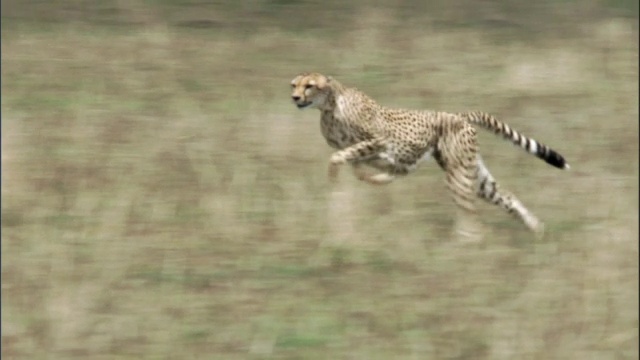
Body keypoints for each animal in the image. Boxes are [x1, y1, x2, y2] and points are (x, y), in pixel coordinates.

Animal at [290, 71, 568, 239]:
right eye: (294, 84)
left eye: (310, 86)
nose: (294, 97)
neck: (329, 105)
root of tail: (458, 115)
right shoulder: (361, 152)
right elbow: (357, 165)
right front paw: (377, 179)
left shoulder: (378, 141)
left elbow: (340, 158)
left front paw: (339, 178)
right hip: (472, 173)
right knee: (505, 196)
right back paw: (536, 227)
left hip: (457, 174)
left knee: (470, 212)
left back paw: (467, 243)